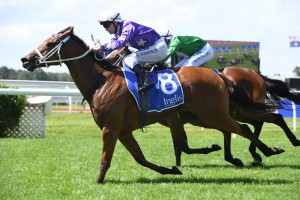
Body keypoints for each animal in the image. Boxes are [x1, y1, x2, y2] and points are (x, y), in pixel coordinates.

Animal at [21, 26, 284, 183]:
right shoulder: (124, 131)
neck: (102, 81)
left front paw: (98, 181)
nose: (25, 59)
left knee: (246, 128)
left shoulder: (110, 128)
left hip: (212, 115)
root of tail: (219, 75)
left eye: (48, 44)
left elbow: (107, 158)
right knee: (242, 128)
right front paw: (172, 169)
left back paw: (268, 151)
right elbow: (142, 158)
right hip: (209, 115)